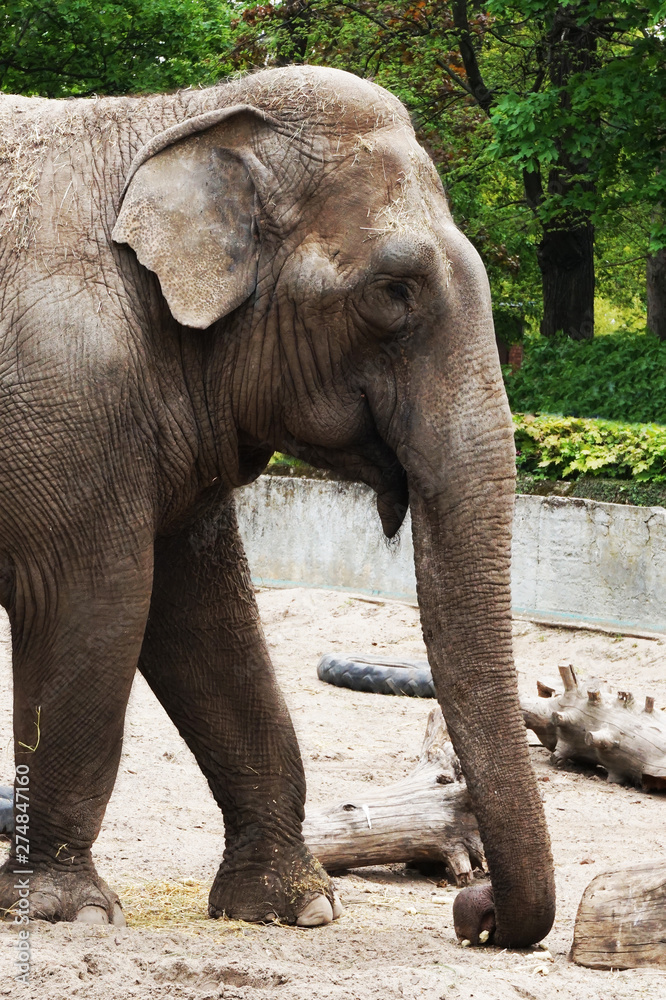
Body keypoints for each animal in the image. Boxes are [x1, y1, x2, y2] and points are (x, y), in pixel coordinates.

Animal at [0, 64, 555, 945]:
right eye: (394, 290)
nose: (477, 910)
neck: (179, 114)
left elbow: (204, 617)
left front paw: (297, 908)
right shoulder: (65, 396)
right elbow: (95, 603)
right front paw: (66, 911)